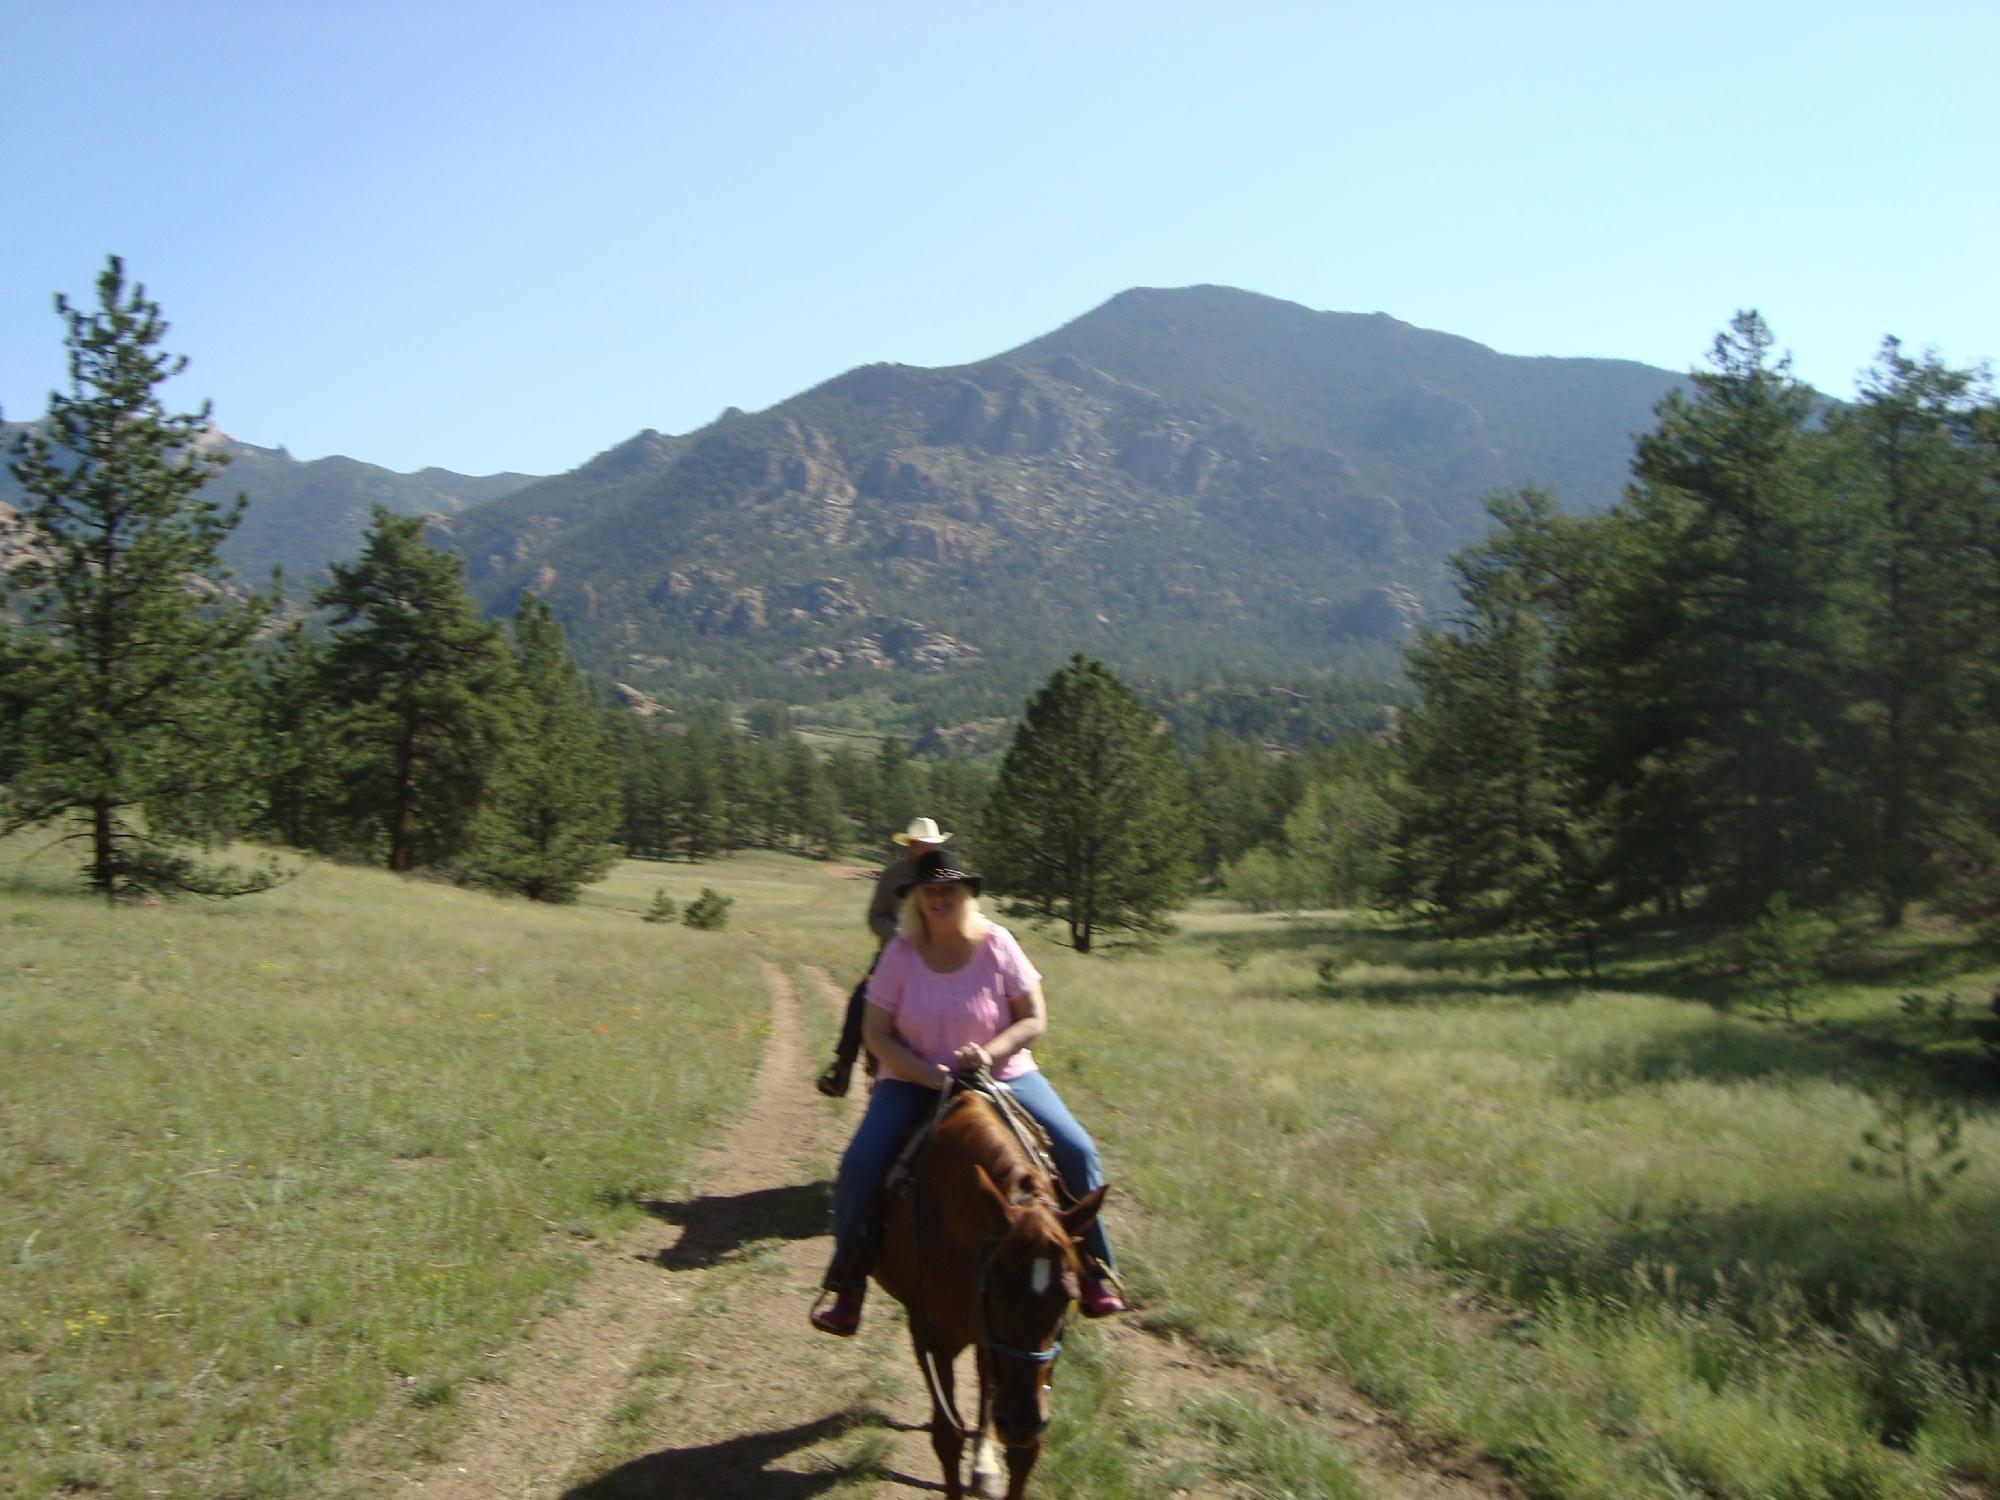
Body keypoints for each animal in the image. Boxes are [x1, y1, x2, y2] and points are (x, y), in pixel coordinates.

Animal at [876, 1088, 1112, 1496]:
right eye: (996, 1283)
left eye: (1067, 1295)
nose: (1020, 1421)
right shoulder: (928, 1334)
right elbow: (947, 1436)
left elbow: (1024, 1451)